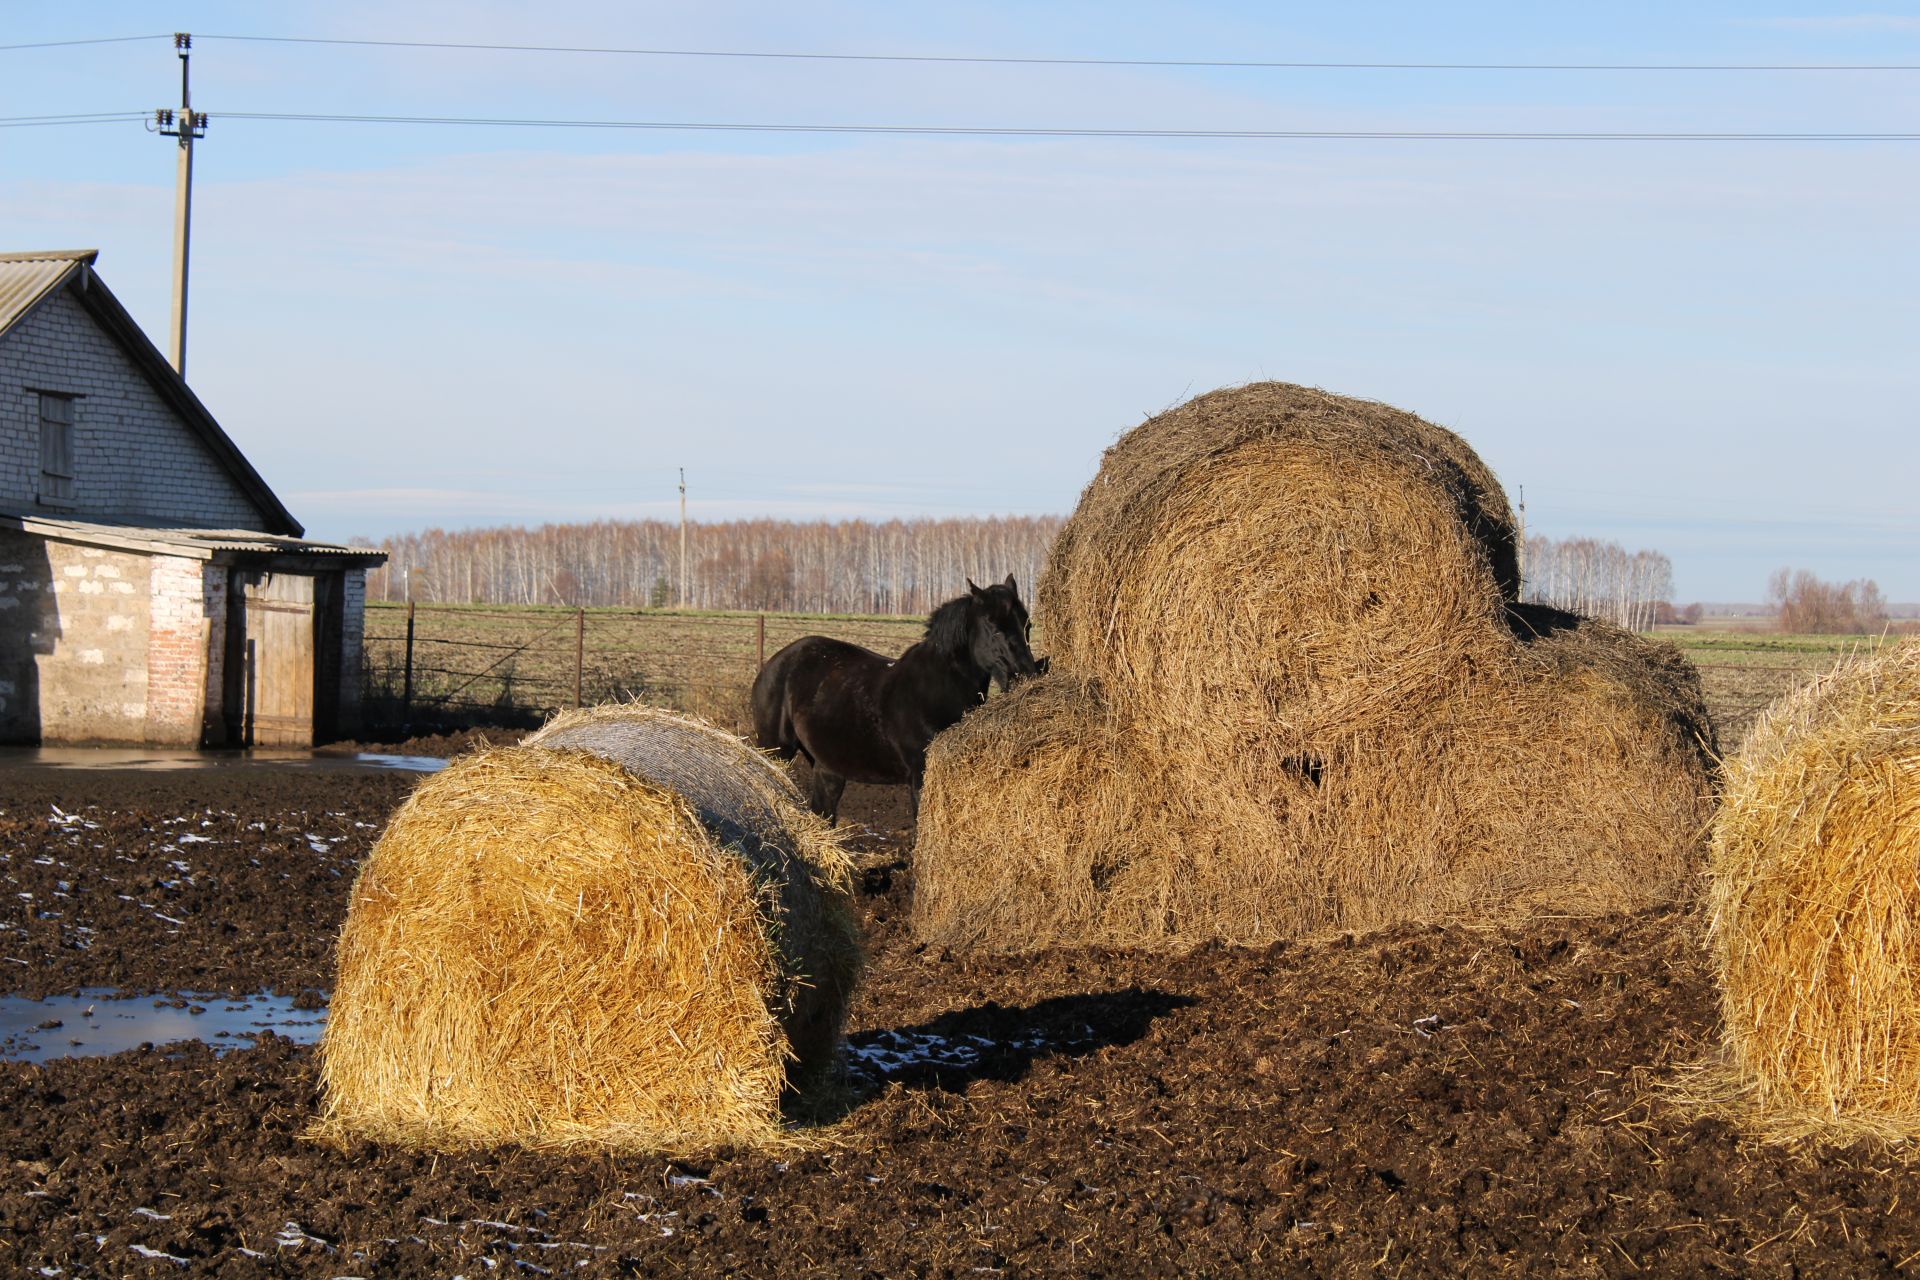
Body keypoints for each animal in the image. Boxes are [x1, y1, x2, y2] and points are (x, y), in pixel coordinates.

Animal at [752, 575, 1044, 825]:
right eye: (994, 629)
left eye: (1027, 625)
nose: (1025, 676)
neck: (935, 689)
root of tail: (772, 665)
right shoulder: (919, 777)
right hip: (777, 750)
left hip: (827, 768)